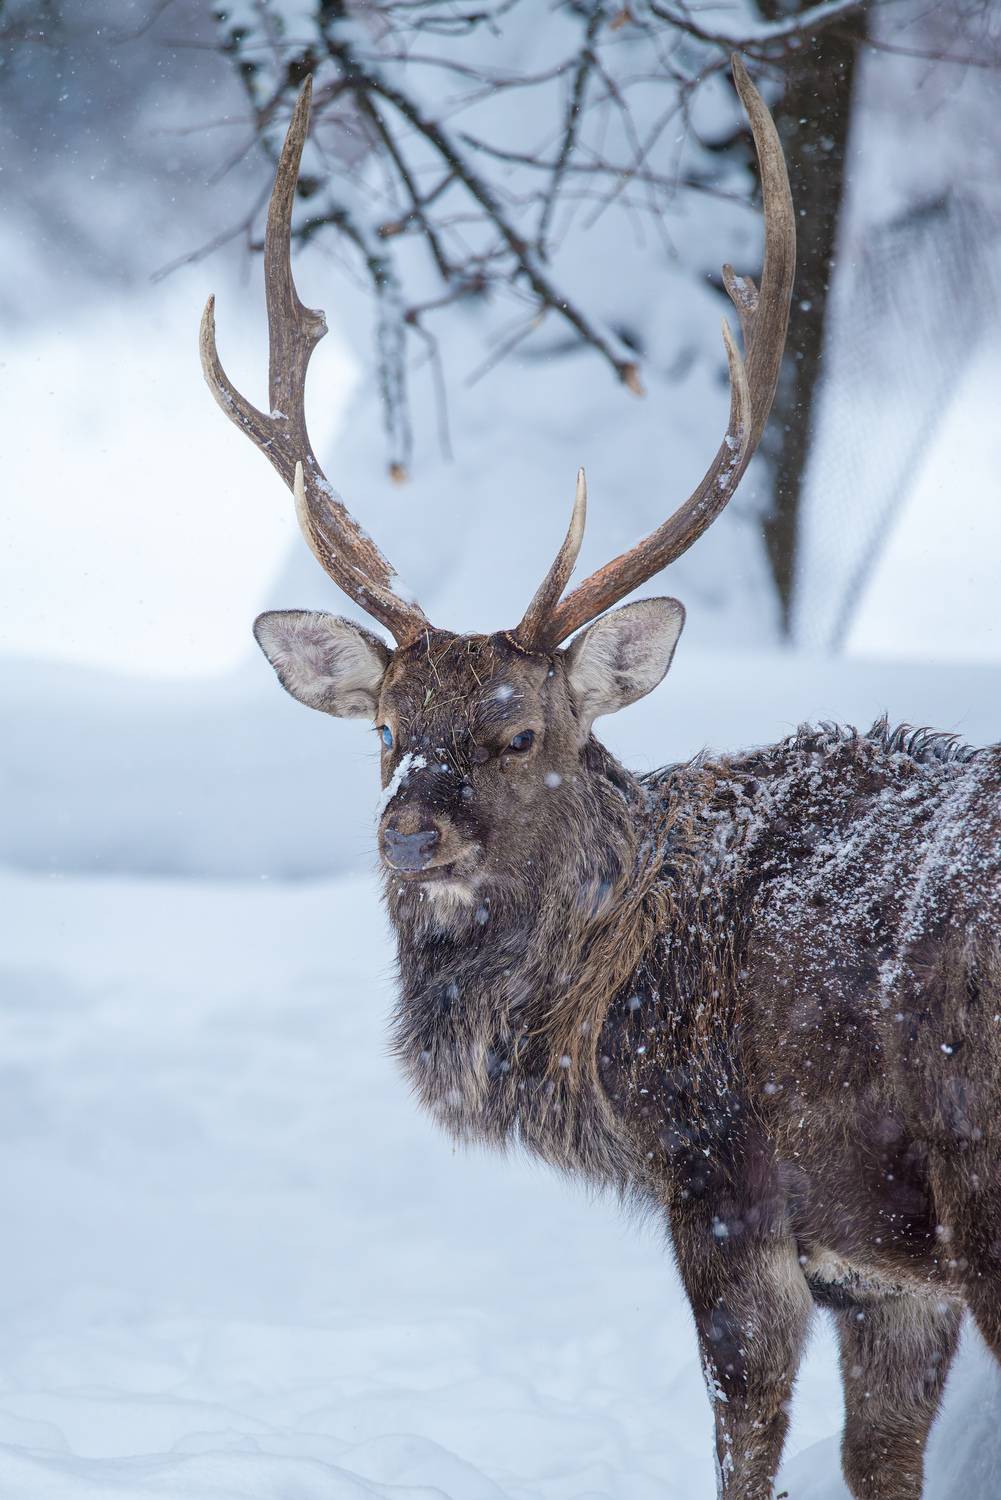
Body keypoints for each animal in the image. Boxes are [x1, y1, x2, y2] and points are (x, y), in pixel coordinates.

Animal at [200, 56, 1001, 1500]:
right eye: (383, 727)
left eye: (523, 733)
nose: (408, 831)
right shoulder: (888, 1277)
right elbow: (880, 1462)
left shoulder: (727, 1185)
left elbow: (746, 1443)